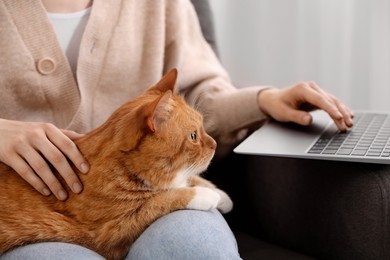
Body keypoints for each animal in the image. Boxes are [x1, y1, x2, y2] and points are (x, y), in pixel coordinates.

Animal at [0, 68, 232, 258]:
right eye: (193, 136)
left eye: (203, 127)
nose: (214, 144)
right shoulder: (112, 232)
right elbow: (159, 201)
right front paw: (204, 194)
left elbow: (189, 180)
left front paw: (221, 195)